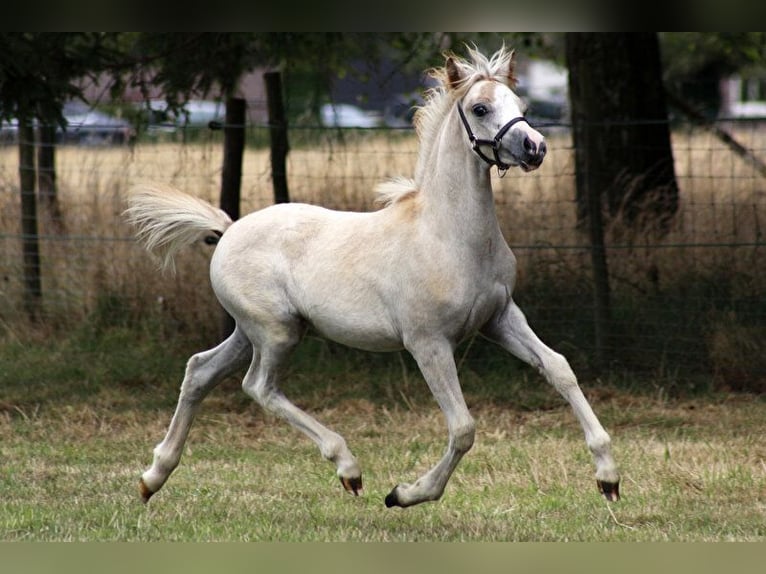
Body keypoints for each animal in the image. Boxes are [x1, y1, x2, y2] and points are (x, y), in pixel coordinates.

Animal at [124, 47, 616, 510]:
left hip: (253, 332)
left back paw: (153, 478)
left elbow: (559, 368)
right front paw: (405, 494)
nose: (536, 148)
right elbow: (463, 428)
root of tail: (227, 229)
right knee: (258, 386)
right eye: (480, 108)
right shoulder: (428, 343)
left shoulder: (500, 319)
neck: (447, 235)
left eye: (521, 104)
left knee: (200, 371)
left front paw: (608, 478)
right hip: (276, 332)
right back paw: (349, 468)